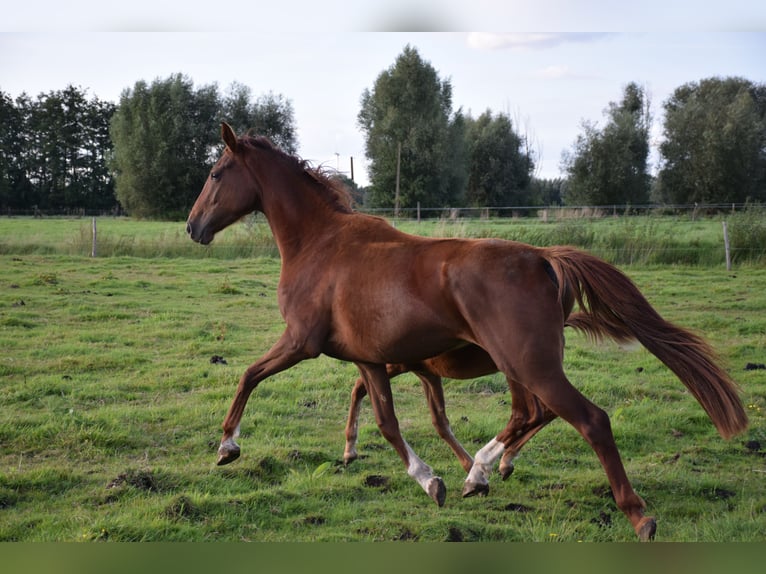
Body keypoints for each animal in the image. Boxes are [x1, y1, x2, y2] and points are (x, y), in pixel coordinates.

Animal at [188, 124, 752, 544]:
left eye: (216, 172)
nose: (194, 227)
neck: (320, 245)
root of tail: (543, 258)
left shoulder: (301, 342)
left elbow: (248, 375)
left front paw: (227, 446)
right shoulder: (371, 360)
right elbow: (389, 422)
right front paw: (429, 480)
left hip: (528, 366)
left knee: (587, 419)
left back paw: (634, 514)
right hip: (522, 366)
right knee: (536, 414)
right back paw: (483, 473)